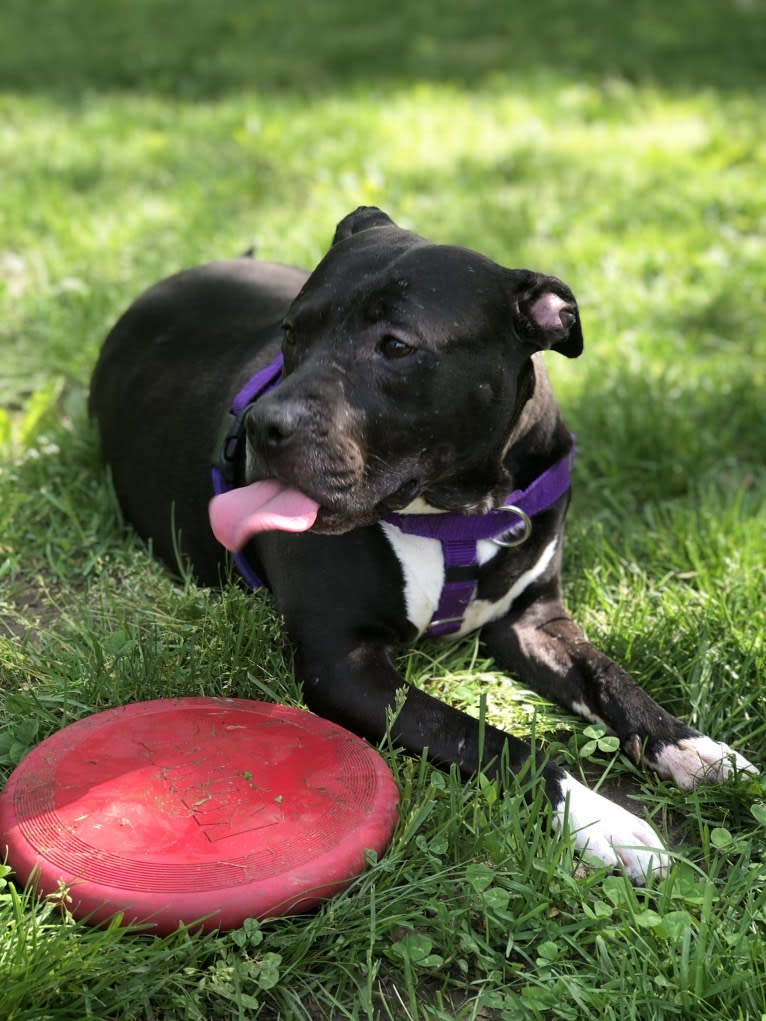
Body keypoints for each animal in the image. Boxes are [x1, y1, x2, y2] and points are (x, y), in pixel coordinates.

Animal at [89, 205, 755, 878]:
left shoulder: (534, 620)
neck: (458, 510)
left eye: (396, 346)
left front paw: (693, 747)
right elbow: (491, 741)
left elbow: (612, 678)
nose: (261, 426)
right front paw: (600, 818)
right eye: (291, 332)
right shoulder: (345, 667)